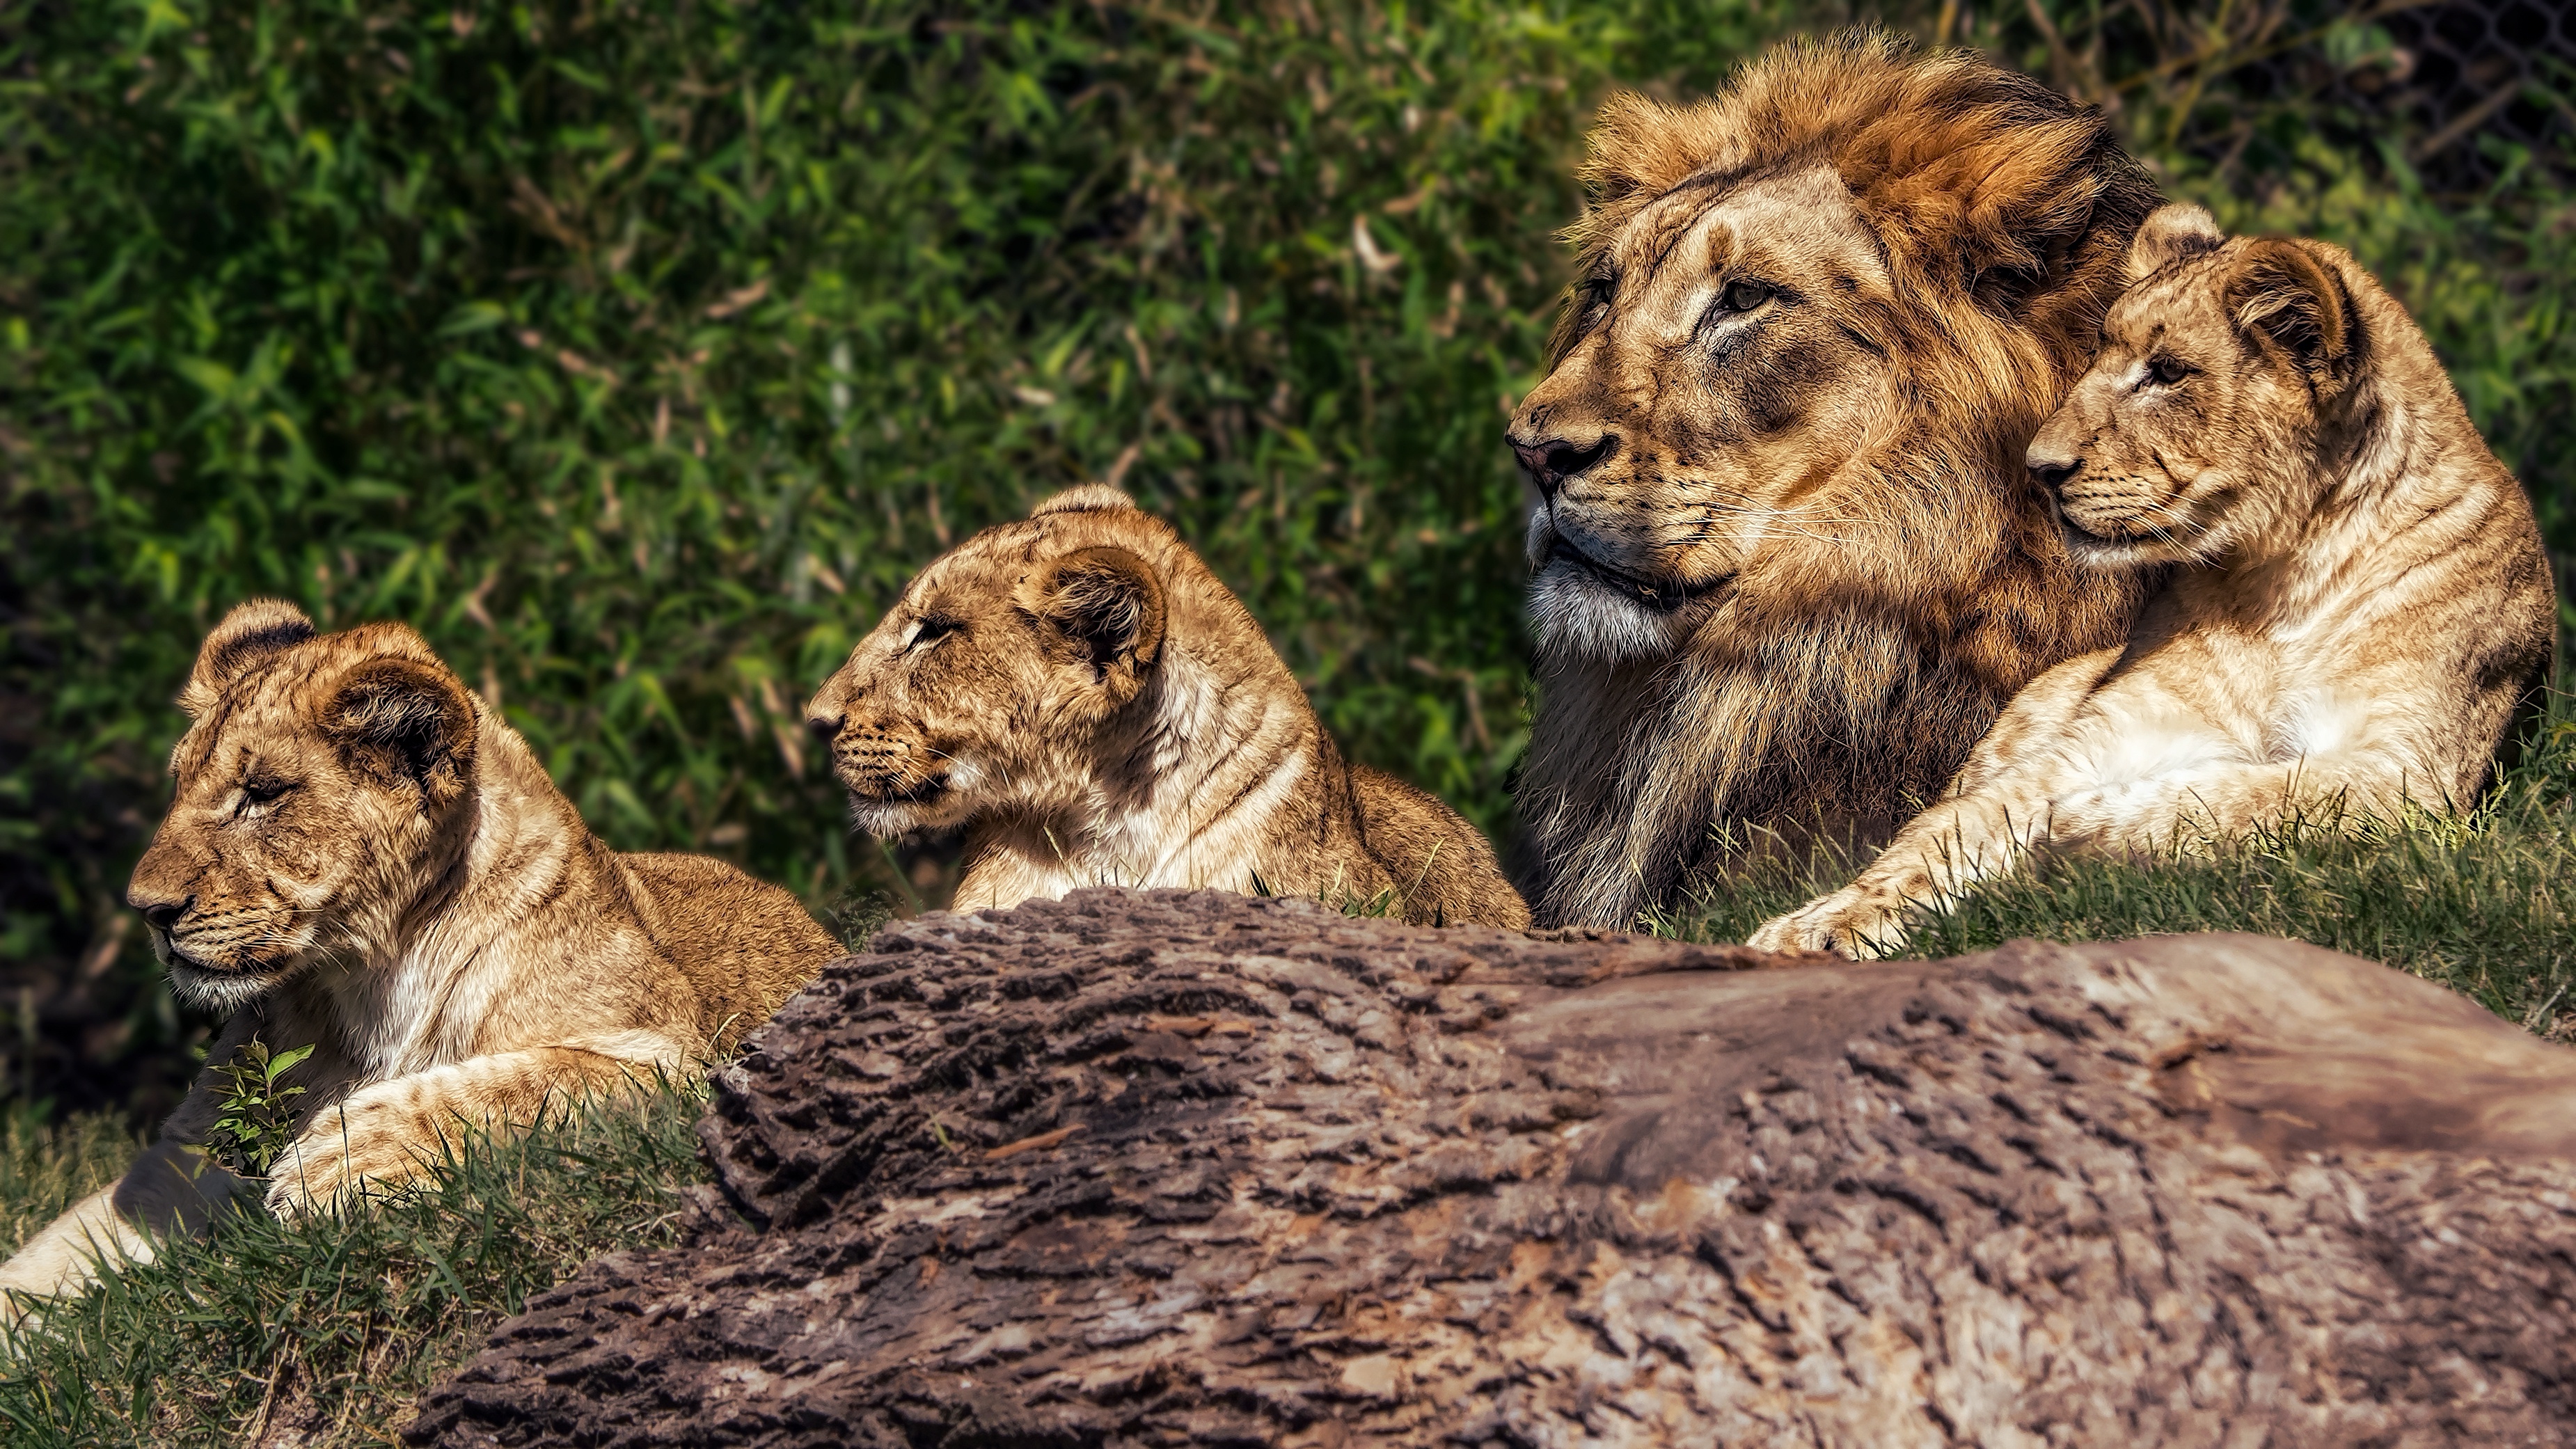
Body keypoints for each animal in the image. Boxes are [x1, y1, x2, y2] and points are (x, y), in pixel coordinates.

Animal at [0, 602, 829, 1317]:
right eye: (179, 785)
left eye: (263, 793)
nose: (147, 910)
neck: (359, 984)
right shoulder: (188, 1153)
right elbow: (55, 1253)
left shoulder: (677, 1058)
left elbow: (523, 1083)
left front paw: (333, 1164)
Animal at [1751, 204, 2555, 952]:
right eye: (2097, 359)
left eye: (2166, 373)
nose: (2038, 469)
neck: (2279, 581)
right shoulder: (2105, 734)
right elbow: (1953, 827)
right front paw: (1816, 926)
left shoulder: (2415, 774)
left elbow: (2254, 798)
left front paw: (2080, 830)